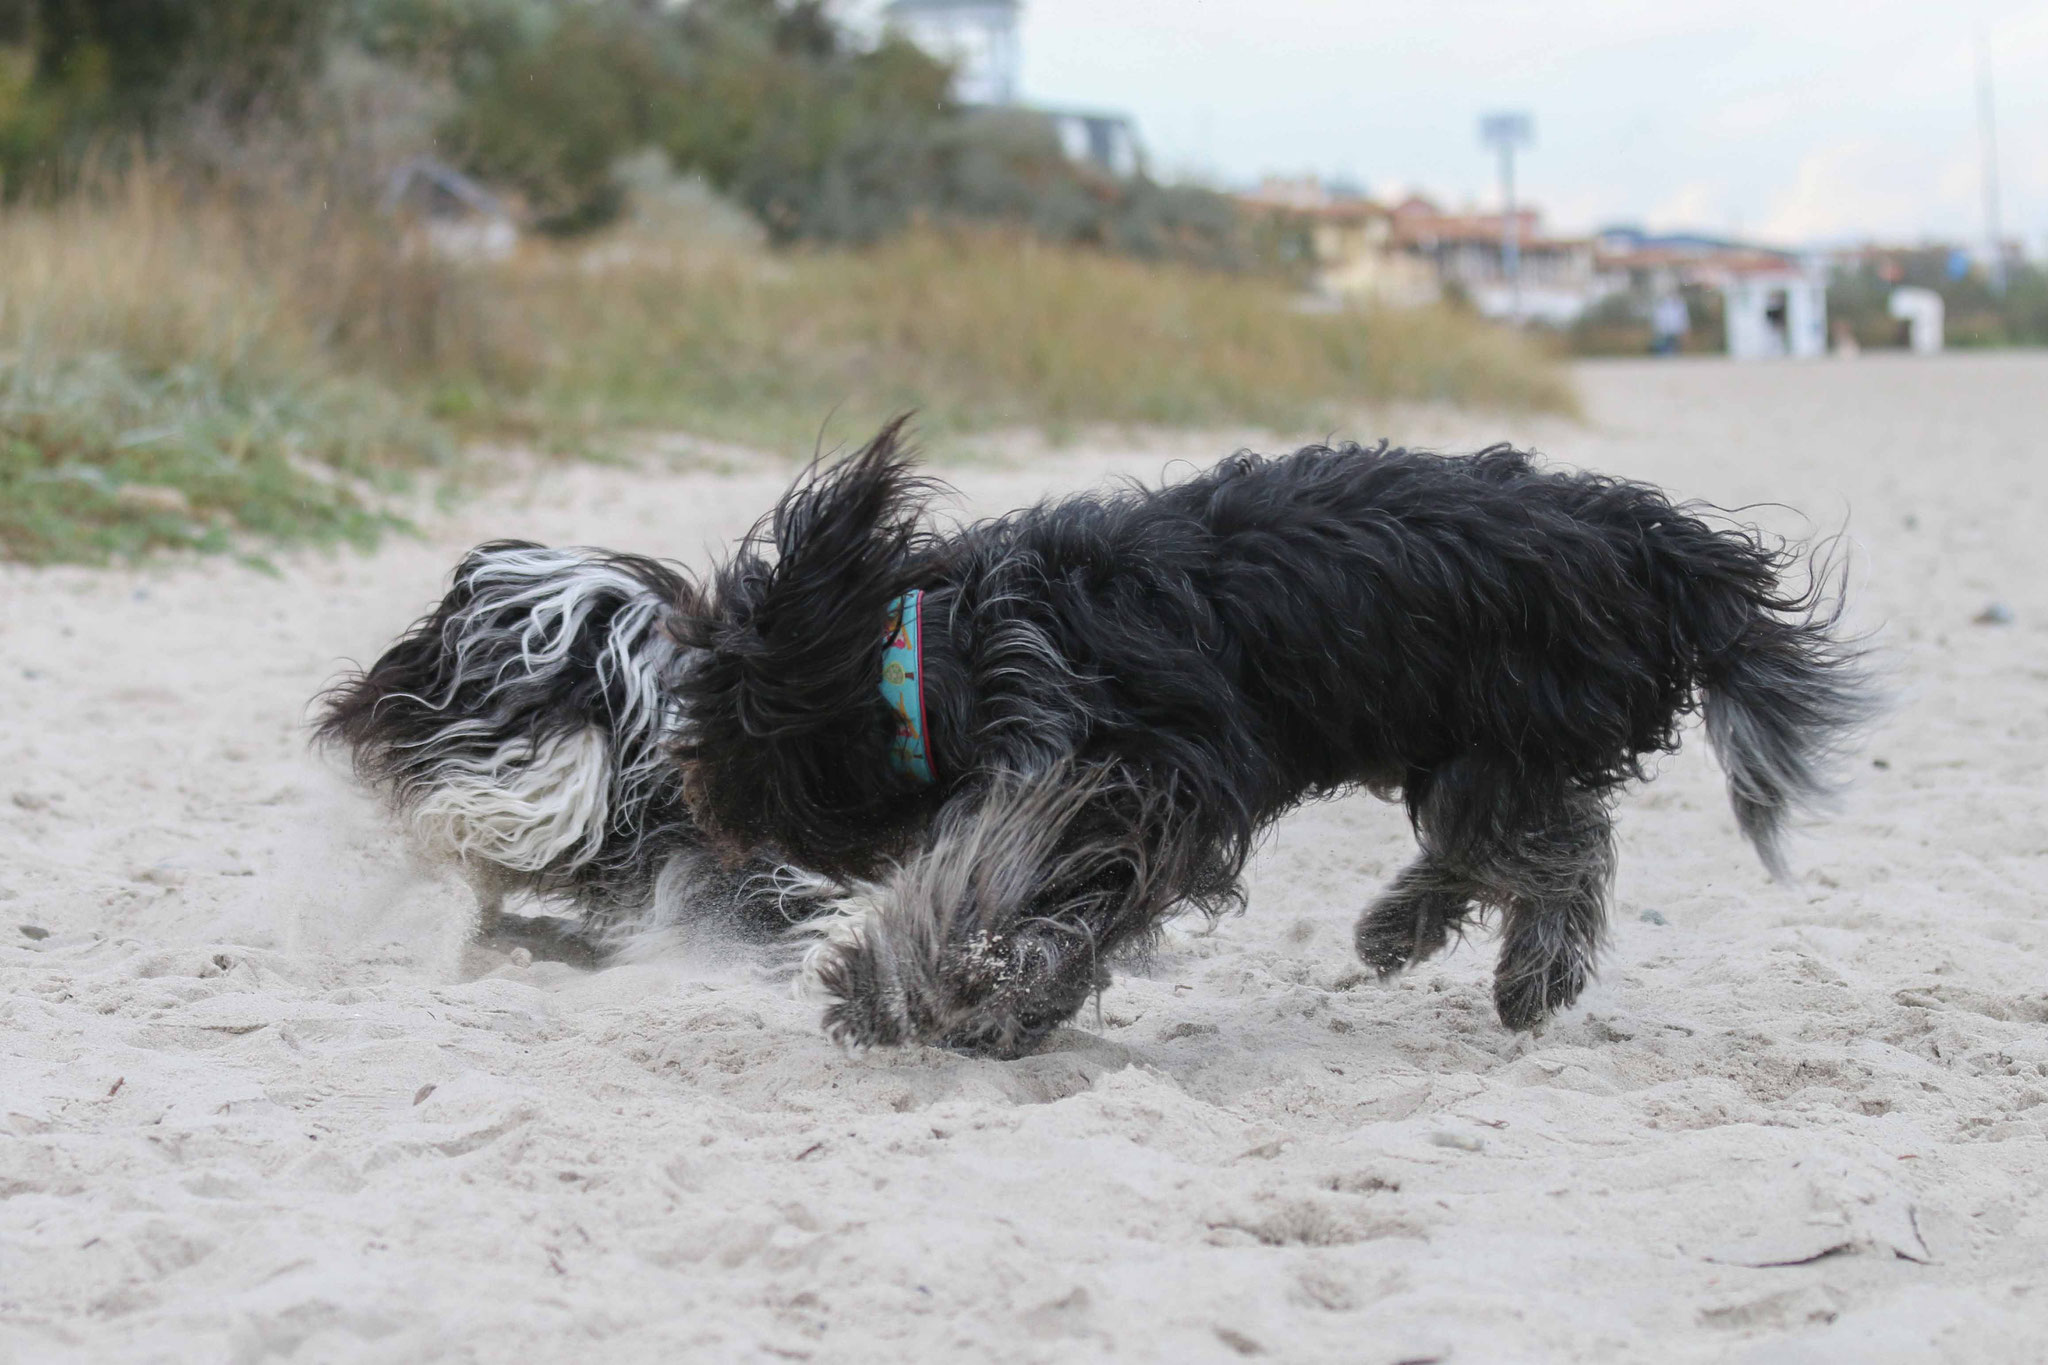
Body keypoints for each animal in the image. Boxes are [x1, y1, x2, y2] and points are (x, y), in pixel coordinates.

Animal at [679, 417, 1875, 1055]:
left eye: (724, 725)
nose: (704, 810)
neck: (943, 653)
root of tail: (1658, 541)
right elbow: (1064, 910)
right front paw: (1001, 1009)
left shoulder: (1127, 776)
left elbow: (1003, 901)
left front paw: (903, 993)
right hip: (1474, 742)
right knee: (1520, 840)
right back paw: (1403, 929)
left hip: (1503, 726)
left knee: (1557, 849)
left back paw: (1524, 971)